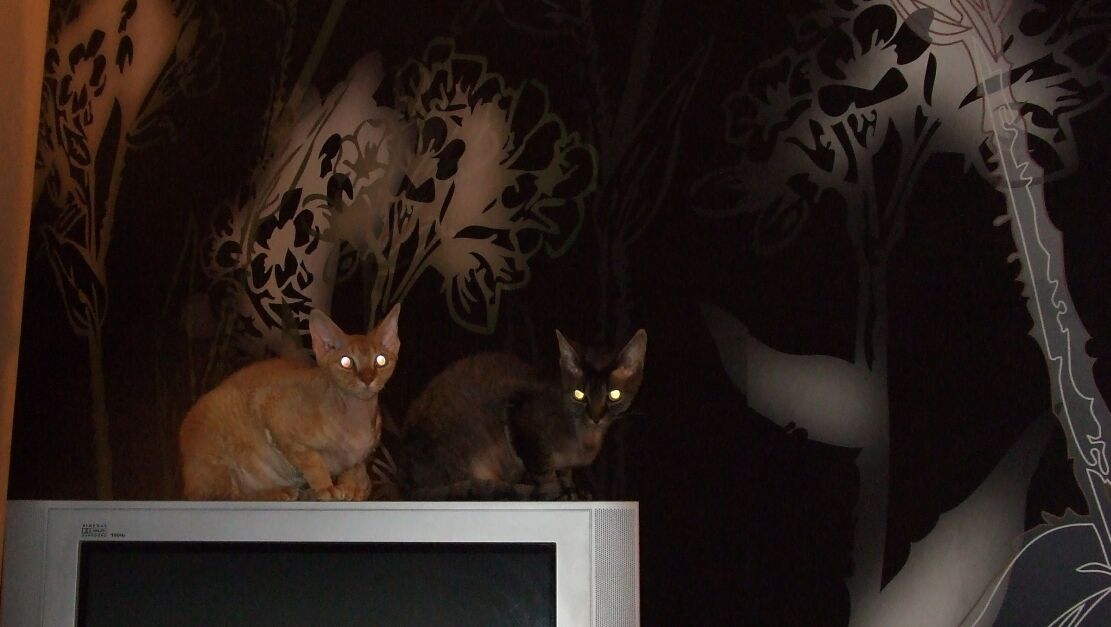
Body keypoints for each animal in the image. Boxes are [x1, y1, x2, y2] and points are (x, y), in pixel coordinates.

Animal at [180, 304, 401, 501]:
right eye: (346, 362)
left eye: (380, 360)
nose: (367, 378)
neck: (357, 418)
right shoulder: (269, 408)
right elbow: (312, 460)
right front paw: (326, 488)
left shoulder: (360, 459)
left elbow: (355, 471)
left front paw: (350, 488)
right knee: (223, 495)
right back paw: (278, 492)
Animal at [401, 328, 647, 498]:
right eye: (579, 394)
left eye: (614, 395)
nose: (596, 417)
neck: (586, 437)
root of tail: (408, 486)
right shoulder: (519, 418)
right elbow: (545, 474)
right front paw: (558, 493)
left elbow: (565, 474)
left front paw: (572, 490)